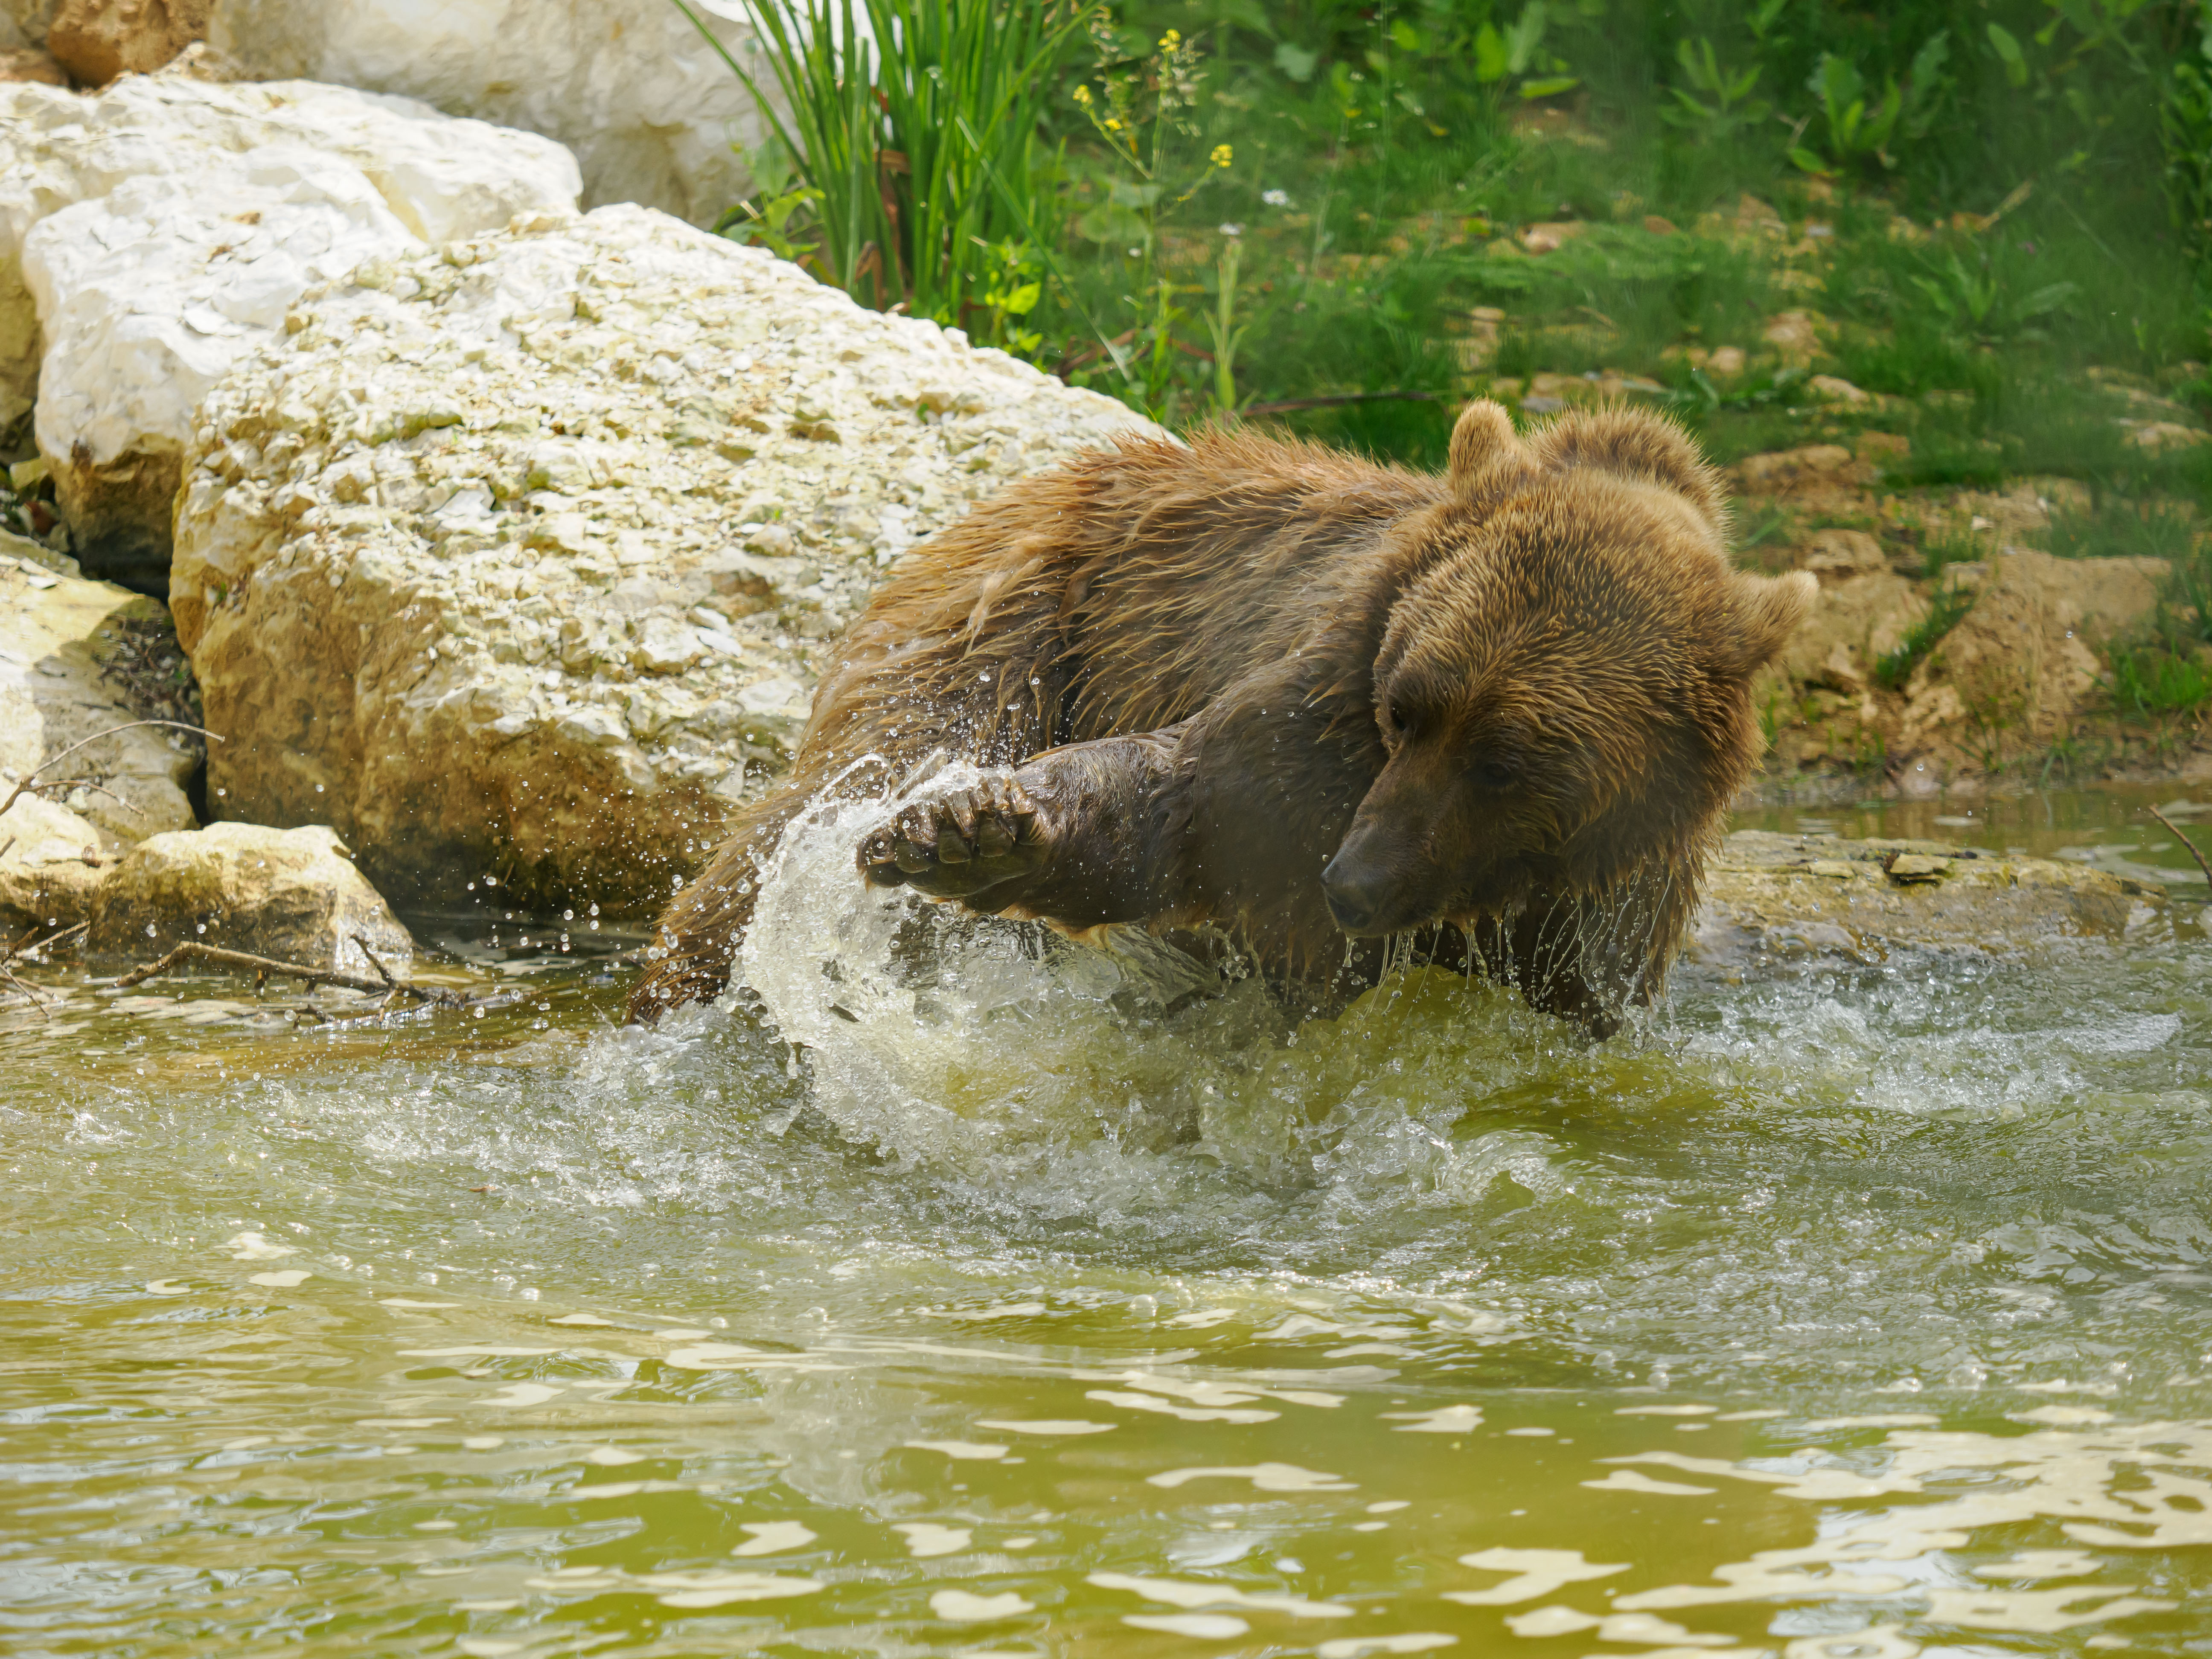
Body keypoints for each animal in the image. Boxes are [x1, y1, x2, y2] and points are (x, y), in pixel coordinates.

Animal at [627, 400, 1814, 1035]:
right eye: (1407, 709)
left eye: (1511, 759)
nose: (1358, 879)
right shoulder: (1315, 709)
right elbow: (1180, 805)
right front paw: (970, 831)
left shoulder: (1606, 905)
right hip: (1016, 626)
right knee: (827, 802)